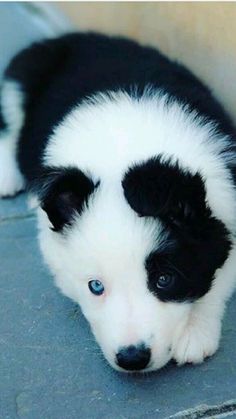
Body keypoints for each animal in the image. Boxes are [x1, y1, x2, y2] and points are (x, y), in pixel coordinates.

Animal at [0, 33, 236, 374]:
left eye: (164, 280)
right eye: (95, 286)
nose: (132, 358)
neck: (128, 148)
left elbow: (218, 276)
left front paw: (195, 333)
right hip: (21, 76)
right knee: (11, 129)